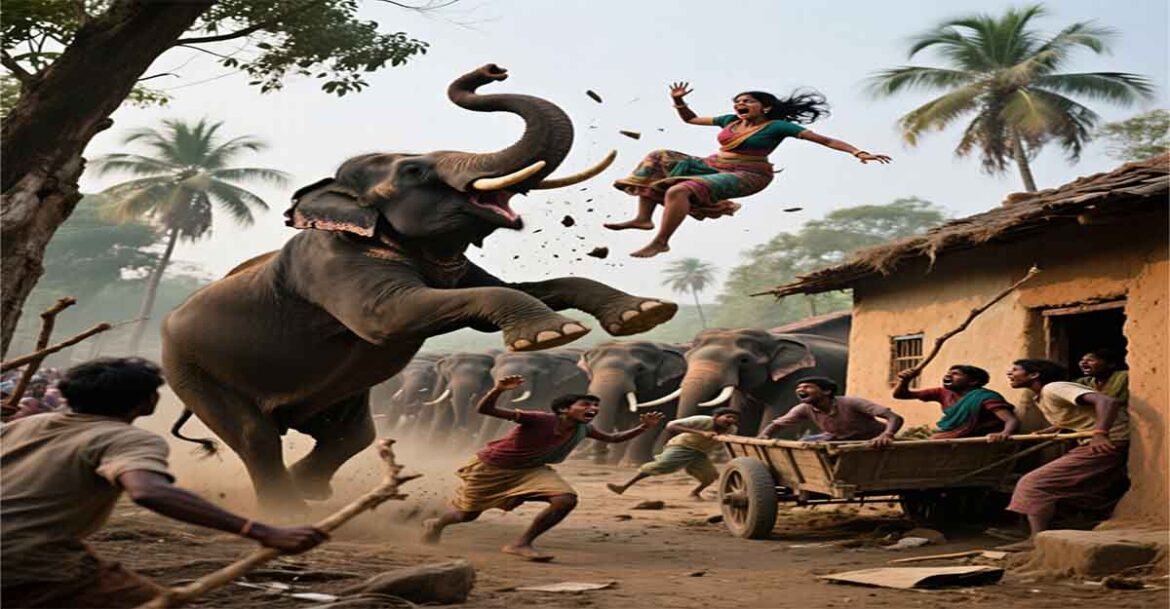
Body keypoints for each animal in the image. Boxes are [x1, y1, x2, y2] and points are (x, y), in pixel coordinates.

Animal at [162, 64, 678, 512]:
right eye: (415, 172)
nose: (492, 70)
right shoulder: (331, 265)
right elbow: (389, 316)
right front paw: (554, 334)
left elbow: (526, 287)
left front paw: (643, 313)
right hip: (192, 367)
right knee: (256, 436)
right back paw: (288, 511)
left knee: (350, 435)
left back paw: (311, 491)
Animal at [661, 329, 848, 437]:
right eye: (687, 358)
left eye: (744, 360)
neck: (772, 338)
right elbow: (744, 422)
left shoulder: (798, 378)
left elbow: (780, 424)